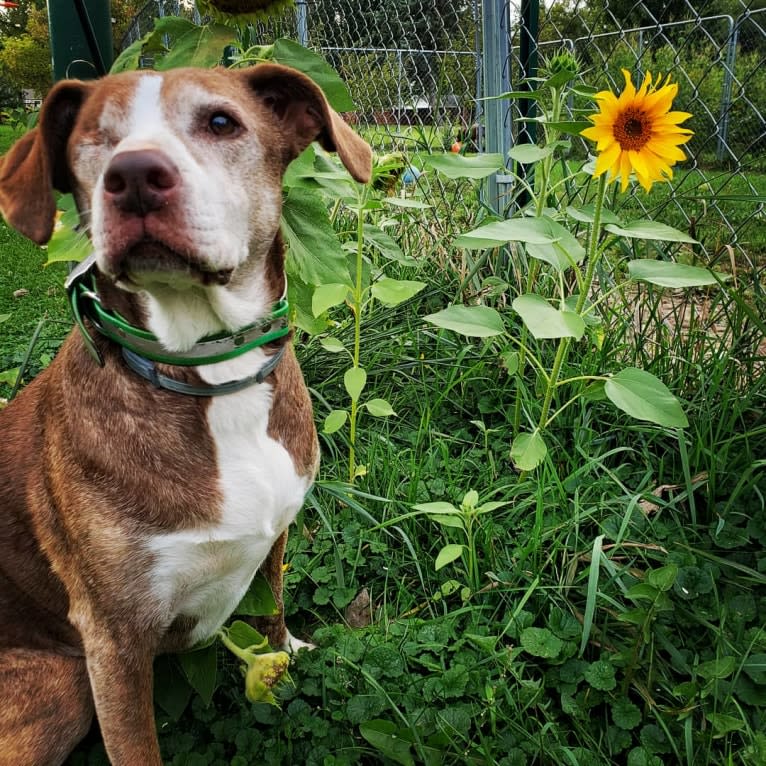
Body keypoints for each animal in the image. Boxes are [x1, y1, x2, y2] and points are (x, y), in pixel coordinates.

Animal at [0, 63, 372, 764]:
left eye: (221, 122)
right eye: (94, 139)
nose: (134, 175)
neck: (211, 372)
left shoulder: (276, 536)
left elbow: (270, 614)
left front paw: (290, 658)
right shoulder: (113, 643)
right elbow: (137, 748)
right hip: (62, 686)